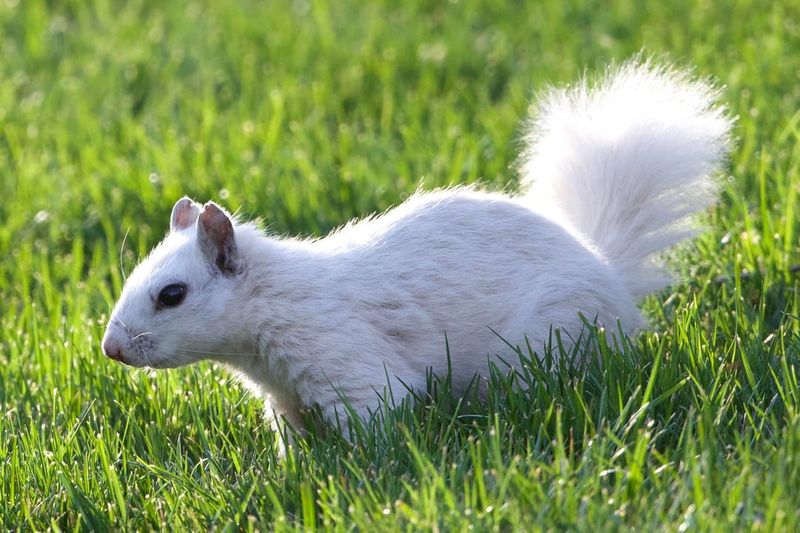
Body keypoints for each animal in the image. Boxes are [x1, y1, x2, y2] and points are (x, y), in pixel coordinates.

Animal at [102, 60, 732, 433]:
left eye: (172, 295)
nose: (112, 349)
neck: (274, 304)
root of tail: (609, 274)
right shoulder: (284, 397)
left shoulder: (344, 358)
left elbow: (376, 416)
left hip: (554, 336)